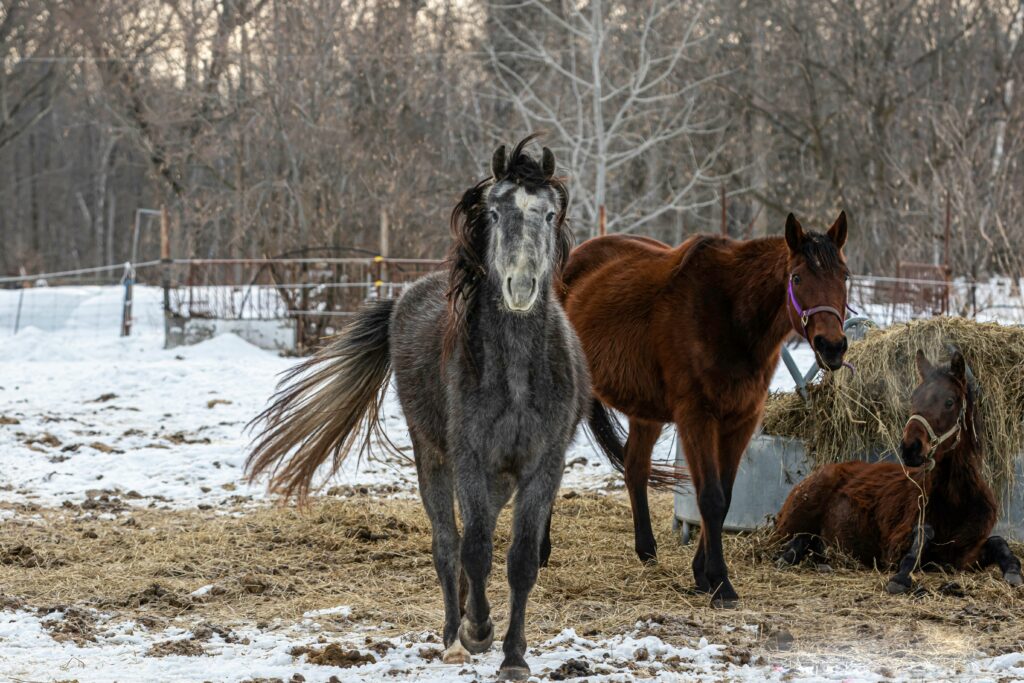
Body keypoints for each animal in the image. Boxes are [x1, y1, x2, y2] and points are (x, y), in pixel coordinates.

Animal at [246, 138, 591, 681]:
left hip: (500, 477)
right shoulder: (468, 458)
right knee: (449, 544)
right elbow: (473, 549)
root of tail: (403, 297)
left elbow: (520, 561)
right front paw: (477, 631)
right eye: (495, 211)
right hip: (432, 456)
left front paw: (514, 656)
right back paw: (455, 635)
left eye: (551, 213)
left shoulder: (544, 464)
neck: (516, 375)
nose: (520, 286)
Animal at [559, 212, 852, 606]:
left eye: (844, 276)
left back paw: (647, 552)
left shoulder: (741, 420)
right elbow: (710, 497)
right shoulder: (697, 418)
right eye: (797, 277)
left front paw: (703, 575)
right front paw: (720, 582)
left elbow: (724, 498)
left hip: (645, 412)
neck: (729, 315)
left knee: (635, 468)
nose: (832, 346)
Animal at [774, 348, 1023, 592]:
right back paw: (789, 556)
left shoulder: (962, 555)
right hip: (791, 523)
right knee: (796, 538)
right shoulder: (893, 548)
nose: (910, 448)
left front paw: (1013, 572)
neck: (955, 500)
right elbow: (922, 536)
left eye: (950, 401)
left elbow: (998, 542)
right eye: (913, 398)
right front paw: (901, 577)